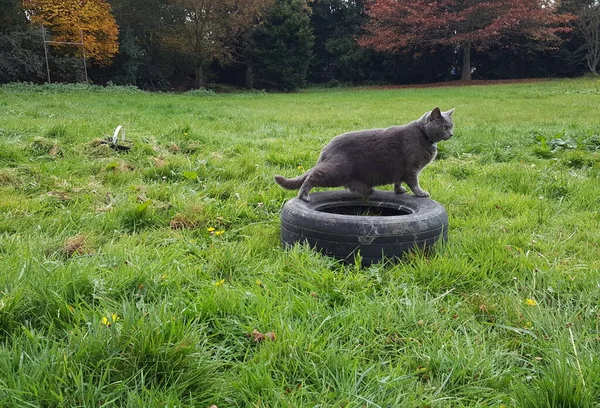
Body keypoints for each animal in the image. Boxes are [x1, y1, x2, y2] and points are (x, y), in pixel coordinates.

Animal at [274, 106, 452, 200]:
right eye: (444, 127)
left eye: (451, 126)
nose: (451, 134)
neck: (423, 135)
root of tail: (326, 148)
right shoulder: (411, 169)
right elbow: (414, 184)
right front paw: (421, 193)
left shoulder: (399, 170)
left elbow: (398, 182)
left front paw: (399, 190)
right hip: (337, 171)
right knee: (312, 176)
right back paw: (303, 195)